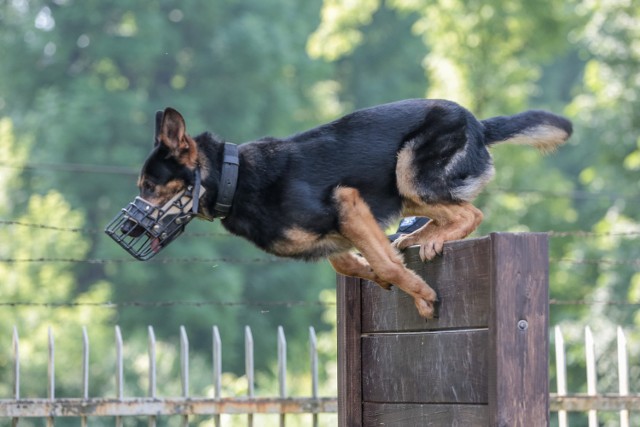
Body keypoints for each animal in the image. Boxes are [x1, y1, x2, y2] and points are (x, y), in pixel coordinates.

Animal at [122, 100, 572, 320]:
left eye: (149, 187)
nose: (126, 230)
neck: (234, 177)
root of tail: (478, 123)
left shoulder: (347, 203)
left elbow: (384, 264)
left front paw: (422, 296)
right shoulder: (342, 227)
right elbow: (351, 263)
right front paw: (381, 271)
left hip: (410, 173)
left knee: (470, 215)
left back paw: (430, 241)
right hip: (404, 189)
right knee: (451, 213)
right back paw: (418, 237)